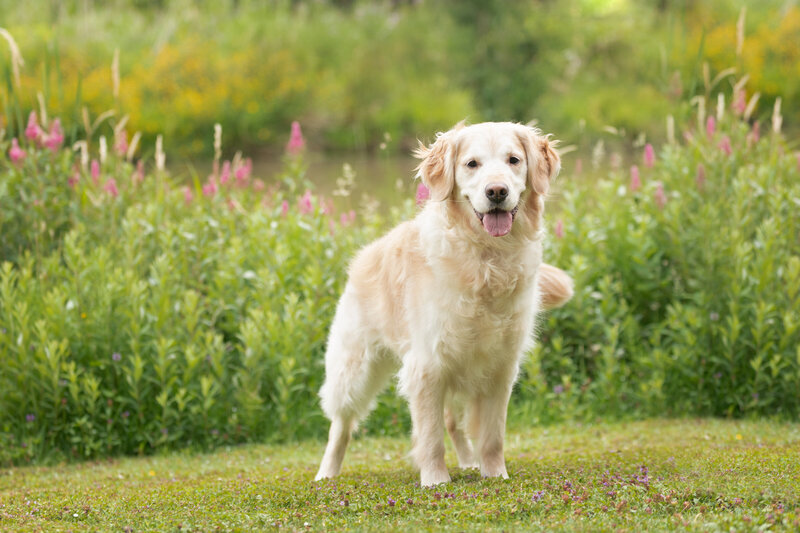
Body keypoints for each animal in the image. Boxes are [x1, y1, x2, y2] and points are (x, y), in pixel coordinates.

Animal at [316, 121, 572, 486]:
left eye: (513, 160)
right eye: (472, 164)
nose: (497, 192)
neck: (486, 261)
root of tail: (364, 255)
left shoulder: (499, 366)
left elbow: (492, 435)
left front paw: (495, 474)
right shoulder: (427, 365)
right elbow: (430, 435)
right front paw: (436, 480)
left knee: (453, 421)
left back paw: (468, 461)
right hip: (353, 369)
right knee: (341, 423)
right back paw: (326, 473)